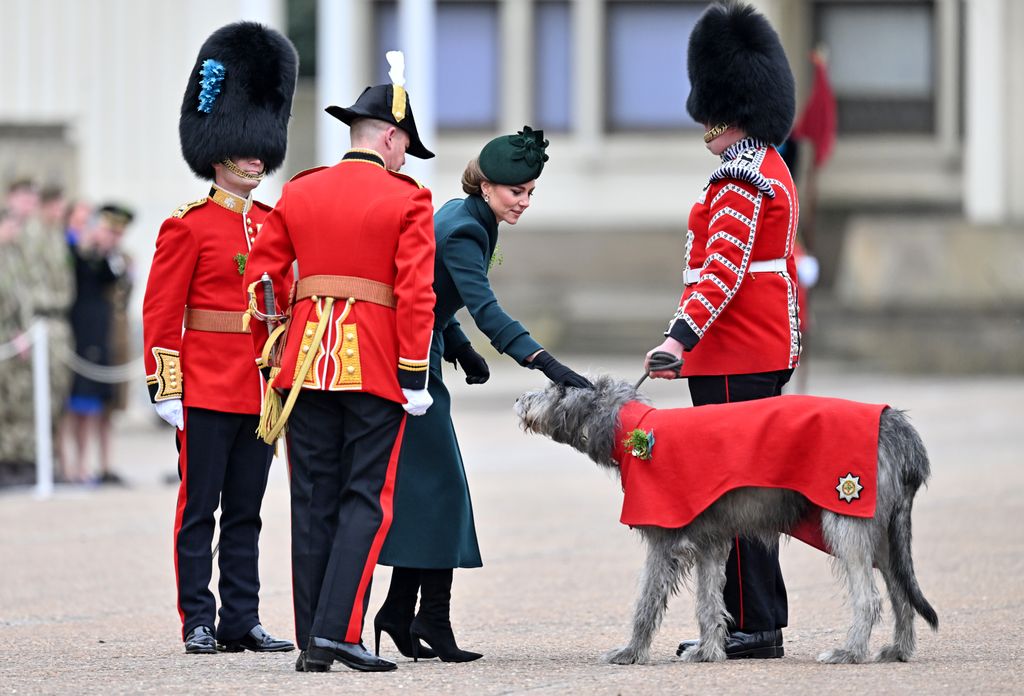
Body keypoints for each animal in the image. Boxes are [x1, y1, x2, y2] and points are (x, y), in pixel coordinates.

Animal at [516, 374, 937, 663]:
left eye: (555, 388)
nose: (520, 398)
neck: (634, 428)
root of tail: (897, 426)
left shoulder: (664, 537)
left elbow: (646, 600)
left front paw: (630, 652)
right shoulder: (712, 542)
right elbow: (708, 600)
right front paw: (708, 650)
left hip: (847, 517)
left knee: (869, 597)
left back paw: (849, 652)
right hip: (883, 531)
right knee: (900, 589)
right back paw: (898, 650)